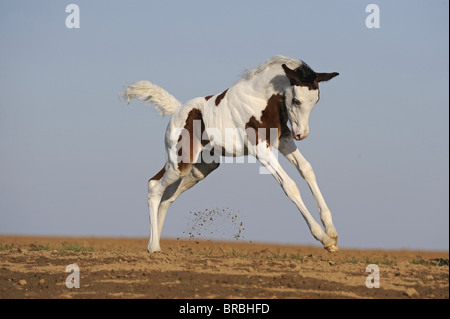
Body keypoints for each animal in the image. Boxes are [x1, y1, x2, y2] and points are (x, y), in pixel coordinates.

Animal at [121, 55, 340, 255]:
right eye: (295, 100)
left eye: (316, 100)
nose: (302, 134)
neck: (260, 100)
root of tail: (176, 111)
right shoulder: (260, 150)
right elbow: (290, 186)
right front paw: (323, 238)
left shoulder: (283, 140)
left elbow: (307, 170)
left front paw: (331, 232)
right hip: (180, 163)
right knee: (154, 187)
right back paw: (153, 247)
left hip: (200, 168)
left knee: (167, 197)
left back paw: (156, 244)